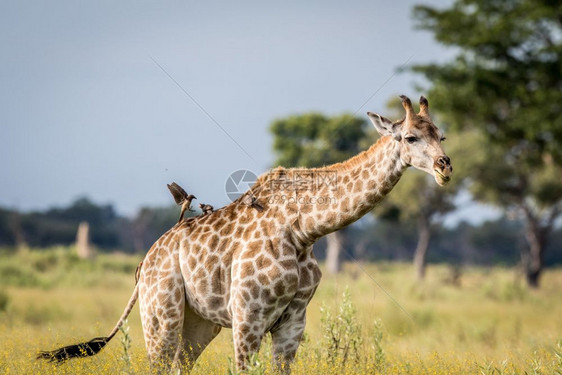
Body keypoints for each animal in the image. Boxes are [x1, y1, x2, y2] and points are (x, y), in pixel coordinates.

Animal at [38, 96, 450, 374]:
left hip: (198, 324)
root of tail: (144, 264)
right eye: (410, 138)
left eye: (442, 135)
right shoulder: (247, 317)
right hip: (160, 314)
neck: (303, 229)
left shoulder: (293, 322)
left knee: (180, 365)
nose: (445, 167)